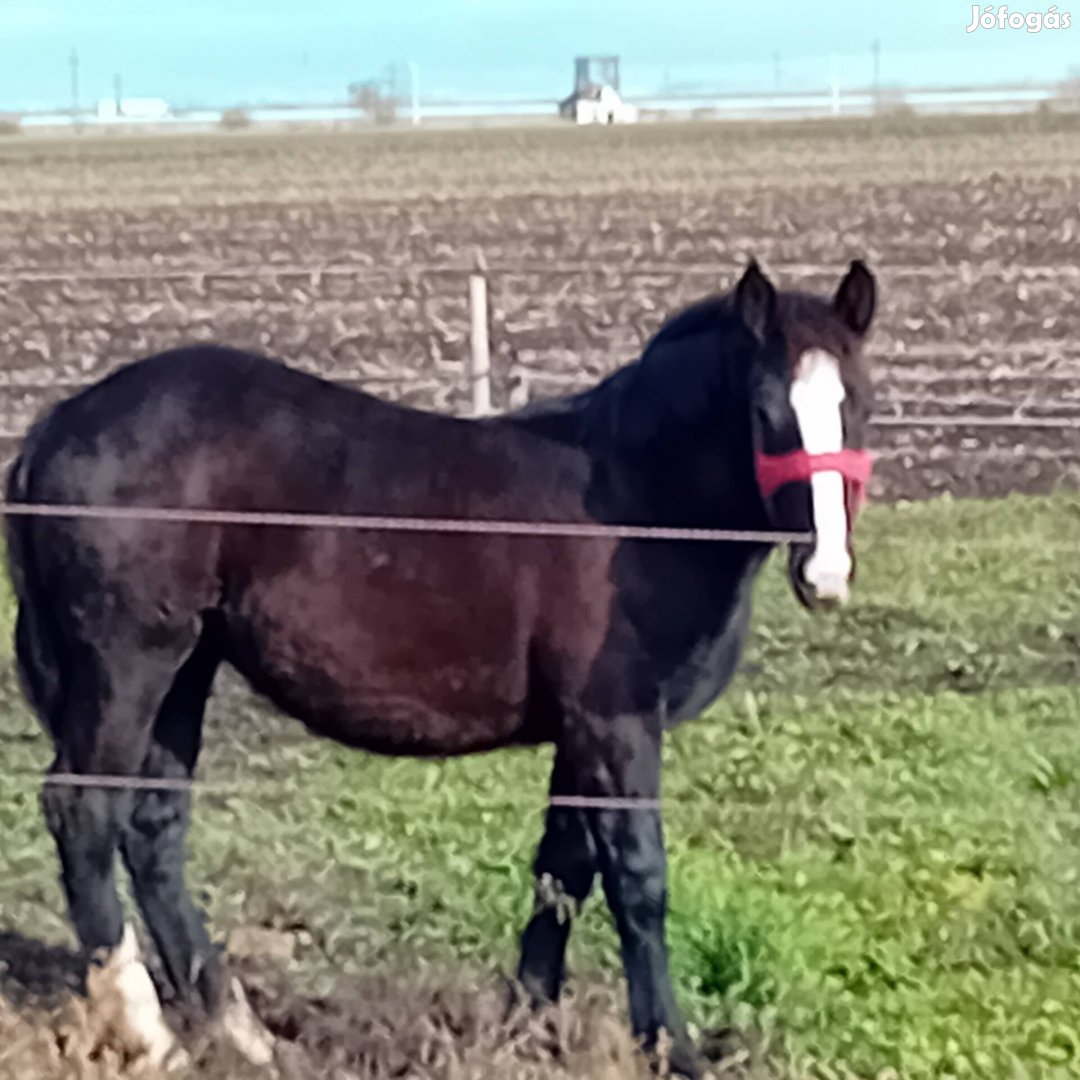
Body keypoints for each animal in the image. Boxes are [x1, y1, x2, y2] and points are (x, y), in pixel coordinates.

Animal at [2, 257, 876, 1075]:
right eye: (766, 414)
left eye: (857, 405)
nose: (826, 574)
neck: (640, 500)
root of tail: (55, 428)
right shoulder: (619, 722)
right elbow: (638, 881)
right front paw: (673, 1048)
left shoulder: (581, 730)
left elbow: (562, 872)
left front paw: (527, 1024)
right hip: (130, 663)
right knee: (85, 813)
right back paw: (148, 1033)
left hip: (188, 667)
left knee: (154, 829)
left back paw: (240, 1031)